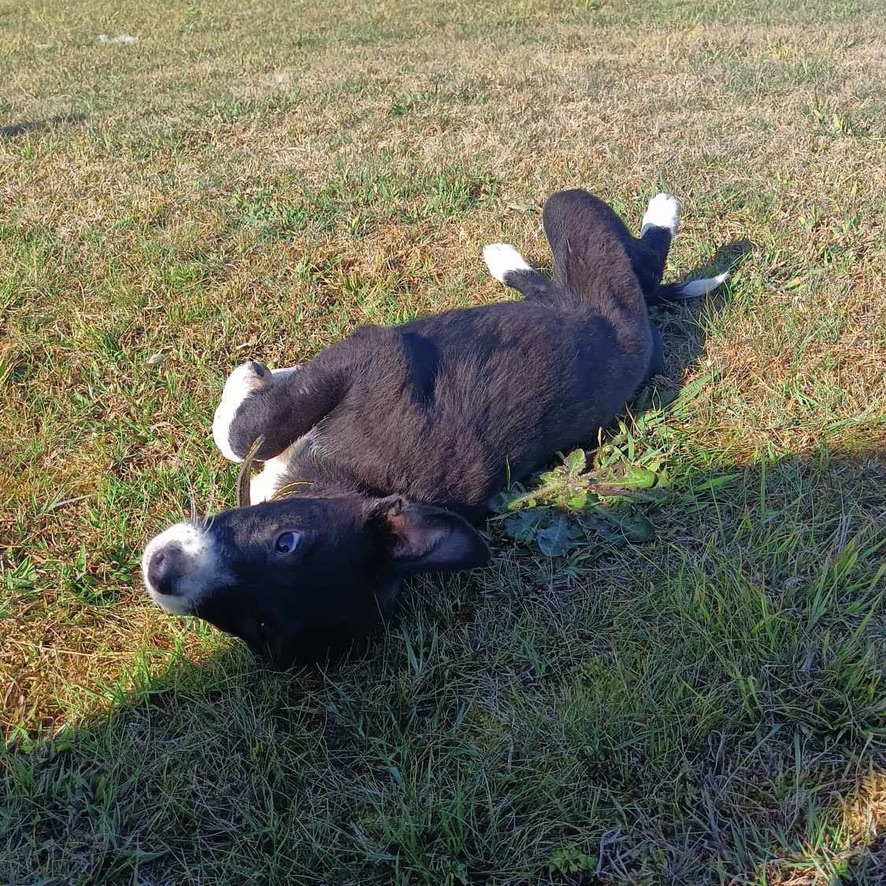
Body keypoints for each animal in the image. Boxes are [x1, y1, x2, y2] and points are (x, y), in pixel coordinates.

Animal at [142, 189, 728, 664]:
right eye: (248, 626)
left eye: (287, 543)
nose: (160, 573)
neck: (347, 481)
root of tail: (644, 331)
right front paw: (266, 379)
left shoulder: (375, 354)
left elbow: (246, 432)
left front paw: (249, 380)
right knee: (565, 287)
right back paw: (509, 263)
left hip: (575, 224)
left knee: (641, 265)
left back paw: (660, 211)